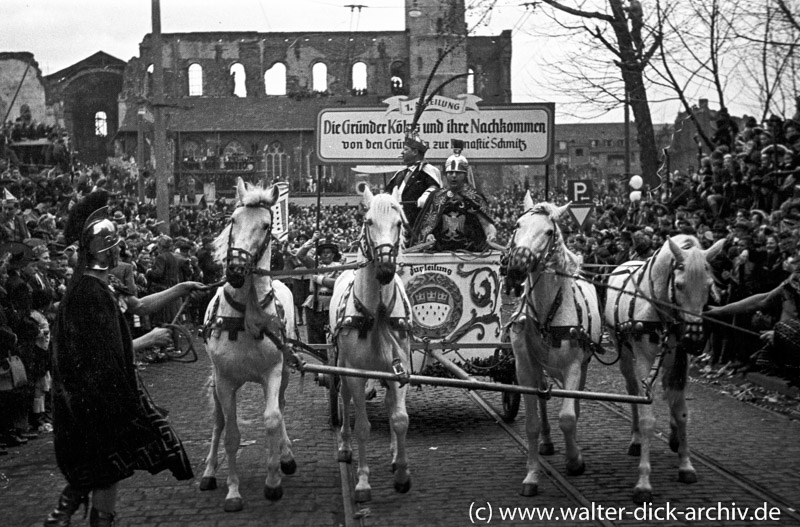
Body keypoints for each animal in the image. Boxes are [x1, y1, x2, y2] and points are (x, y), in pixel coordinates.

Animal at [200, 177, 296, 512]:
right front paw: (233, 491)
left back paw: (286, 454)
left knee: (281, 407)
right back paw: (209, 472)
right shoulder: (225, 380)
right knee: (217, 421)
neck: (246, 315)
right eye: (233, 220)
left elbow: (272, 418)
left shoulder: (274, 371)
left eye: (267, 225)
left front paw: (273, 479)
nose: (236, 272)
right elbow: (230, 433)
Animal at [330, 186, 412, 504]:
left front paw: (401, 471)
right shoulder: (355, 373)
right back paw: (344, 447)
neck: (377, 315)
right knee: (343, 398)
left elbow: (400, 418)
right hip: (340, 366)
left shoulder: (400, 368)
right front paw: (363, 482)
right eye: (368, 222)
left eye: (399, 223)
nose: (387, 268)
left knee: (390, 404)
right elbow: (362, 427)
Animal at [506, 196, 600, 498]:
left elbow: (568, 417)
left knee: (575, 404)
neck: (549, 312)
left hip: (582, 365)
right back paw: (547, 442)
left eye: (548, 232)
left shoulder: (573, 365)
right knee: (543, 397)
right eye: (517, 224)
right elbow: (532, 424)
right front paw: (532, 475)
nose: (517, 265)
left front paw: (575, 460)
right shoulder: (524, 368)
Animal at [608, 234, 724, 504]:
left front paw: (686, 464)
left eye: (709, 286)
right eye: (679, 285)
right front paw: (643, 481)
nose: (695, 340)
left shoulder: (680, 358)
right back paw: (636, 439)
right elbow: (647, 416)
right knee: (632, 391)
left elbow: (681, 411)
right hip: (624, 352)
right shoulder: (643, 358)